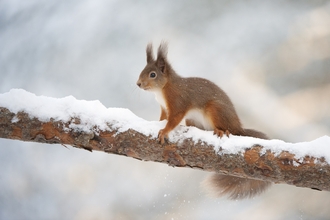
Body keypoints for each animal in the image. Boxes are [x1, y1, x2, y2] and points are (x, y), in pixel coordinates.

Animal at [136, 42, 270, 199]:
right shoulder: (164, 107)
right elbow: (163, 118)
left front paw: (164, 131)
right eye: (143, 70)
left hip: (215, 110)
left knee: (228, 129)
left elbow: (173, 120)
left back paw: (221, 131)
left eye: (153, 74)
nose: (138, 84)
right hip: (193, 120)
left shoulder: (178, 102)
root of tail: (239, 127)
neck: (163, 88)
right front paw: (158, 123)